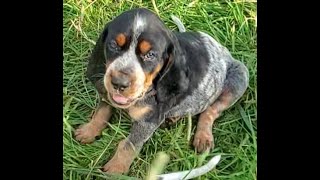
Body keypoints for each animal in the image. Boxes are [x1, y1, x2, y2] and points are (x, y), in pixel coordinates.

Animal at [74, 7, 248, 174]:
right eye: (114, 45)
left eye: (150, 55)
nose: (119, 83)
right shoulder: (108, 93)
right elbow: (102, 111)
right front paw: (89, 130)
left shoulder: (148, 121)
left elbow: (129, 145)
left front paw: (116, 169)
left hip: (240, 76)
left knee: (211, 110)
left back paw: (203, 136)